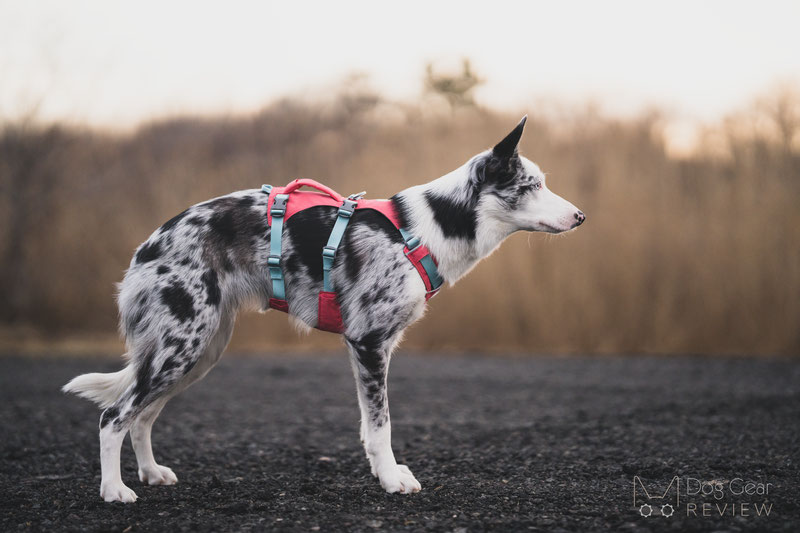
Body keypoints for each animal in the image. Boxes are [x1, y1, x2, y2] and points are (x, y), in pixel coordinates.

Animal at [64, 114, 588, 500]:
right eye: (531, 185)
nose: (582, 216)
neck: (424, 228)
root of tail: (148, 246)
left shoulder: (372, 350)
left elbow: (369, 428)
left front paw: (385, 473)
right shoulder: (369, 344)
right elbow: (381, 426)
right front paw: (392, 481)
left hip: (198, 351)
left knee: (142, 416)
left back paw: (150, 473)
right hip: (182, 346)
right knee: (115, 417)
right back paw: (114, 490)